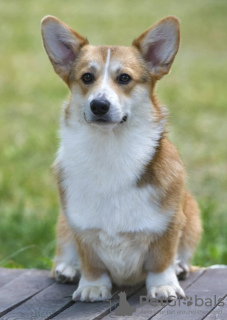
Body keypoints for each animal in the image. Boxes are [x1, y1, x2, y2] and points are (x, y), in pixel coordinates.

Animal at [41, 15, 202, 302]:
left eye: (125, 78)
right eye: (87, 77)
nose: (99, 105)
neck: (110, 149)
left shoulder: (169, 224)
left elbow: (162, 259)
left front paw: (164, 285)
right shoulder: (80, 227)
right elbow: (90, 261)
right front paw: (92, 287)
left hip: (193, 215)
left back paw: (180, 267)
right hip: (62, 224)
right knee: (65, 252)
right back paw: (68, 269)